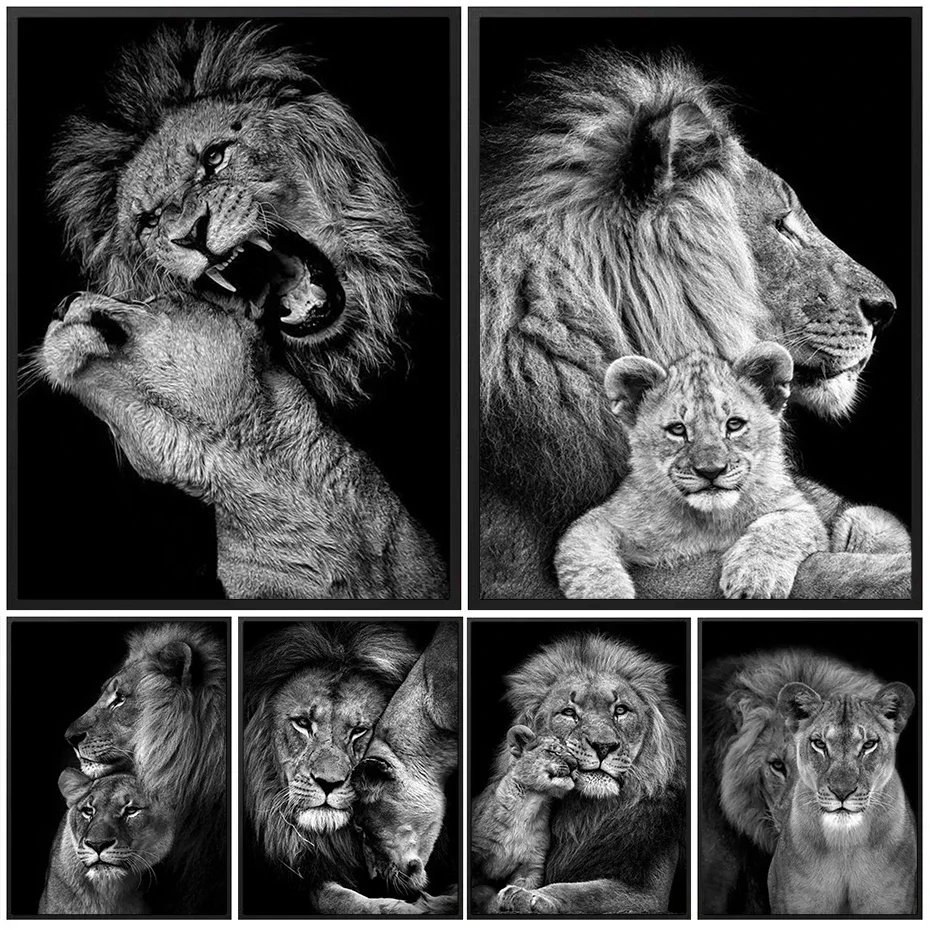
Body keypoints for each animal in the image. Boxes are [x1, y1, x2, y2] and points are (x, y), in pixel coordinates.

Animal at [556, 343, 832, 599]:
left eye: (734, 424)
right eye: (677, 429)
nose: (711, 471)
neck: (708, 521)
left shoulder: (799, 508)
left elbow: (780, 527)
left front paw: (754, 579)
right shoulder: (598, 521)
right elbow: (588, 560)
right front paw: (607, 595)